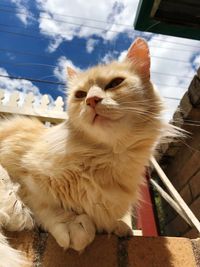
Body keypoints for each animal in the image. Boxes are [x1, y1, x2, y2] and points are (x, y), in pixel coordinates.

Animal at [0, 37, 171, 266]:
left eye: (115, 83)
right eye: (80, 95)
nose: (92, 100)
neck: (106, 159)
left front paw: (118, 226)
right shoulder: (19, 169)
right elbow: (38, 199)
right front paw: (71, 223)